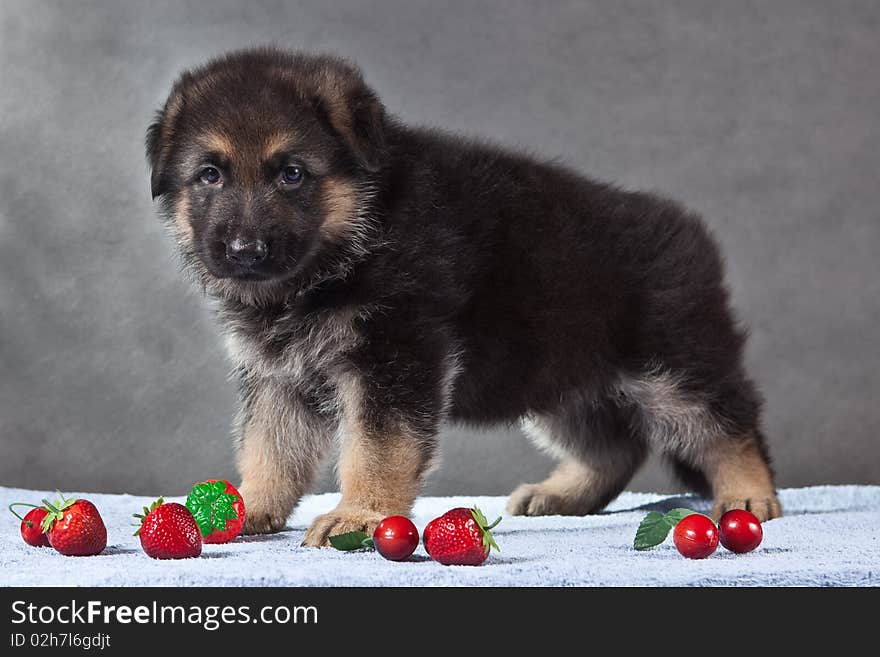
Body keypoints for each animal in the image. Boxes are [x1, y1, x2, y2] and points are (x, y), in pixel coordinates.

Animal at [148, 47, 780, 544]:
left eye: (292, 174)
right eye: (210, 175)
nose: (244, 250)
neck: (348, 247)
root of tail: (688, 234)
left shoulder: (395, 358)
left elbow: (376, 447)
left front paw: (361, 515)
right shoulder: (280, 375)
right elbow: (270, 447)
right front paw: (249, 505)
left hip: (673, 366)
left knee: (729, 424)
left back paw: (748, 495)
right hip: (563, 377)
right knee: (614, 446)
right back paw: (564, 495)